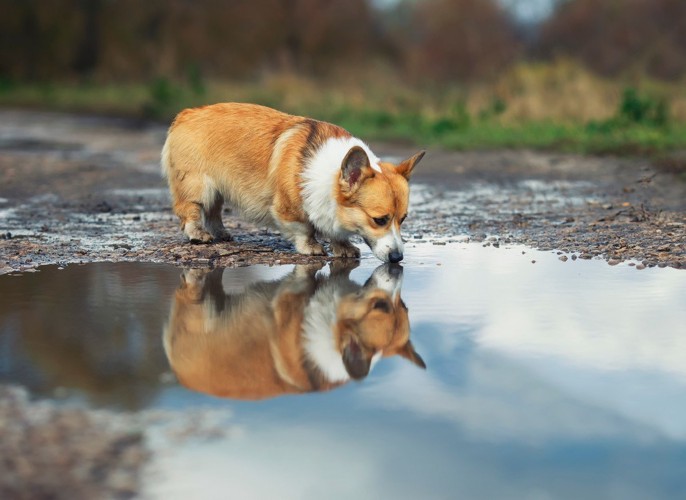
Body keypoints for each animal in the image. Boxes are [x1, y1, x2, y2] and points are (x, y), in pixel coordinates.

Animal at [163, 103, 424, 264]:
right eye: (379, 220)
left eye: (403, 219)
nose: (398, 258)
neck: (328, 174)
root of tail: (186, 113)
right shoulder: (288, 209)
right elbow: (304, 228)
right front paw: (312, 247)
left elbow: (335, 230)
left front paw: (343, 247)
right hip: (199, 186)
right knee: (191, 210)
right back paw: (199, 234)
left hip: (218, 188)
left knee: (214, 211)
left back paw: (221, 233)